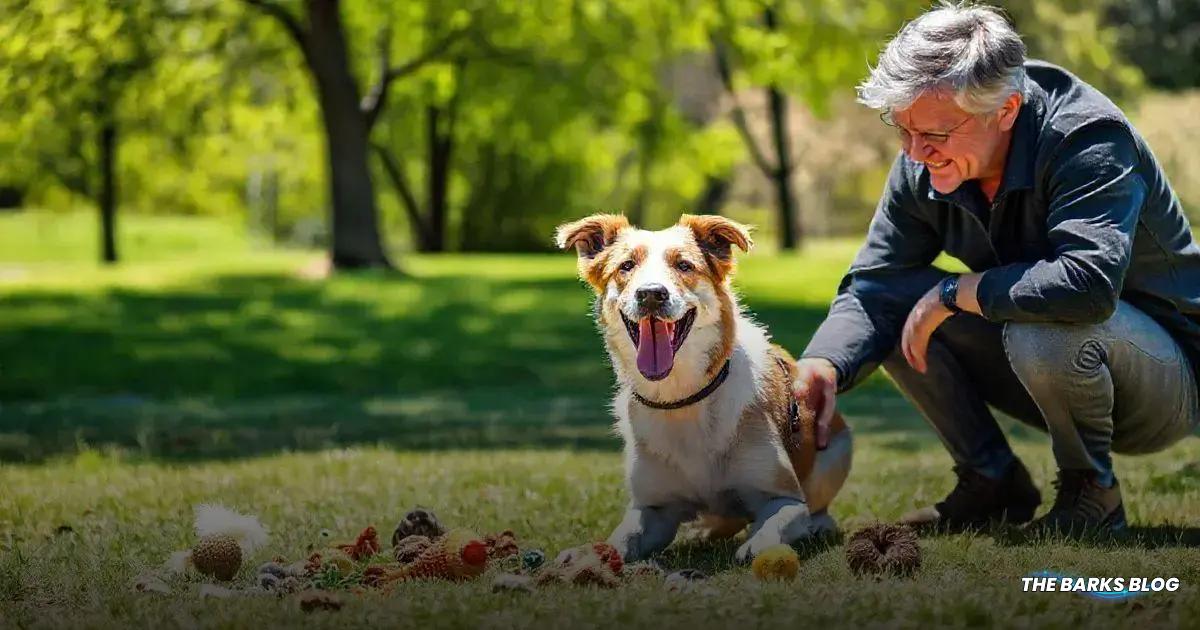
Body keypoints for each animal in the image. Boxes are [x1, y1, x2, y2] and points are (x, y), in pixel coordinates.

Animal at [554, 213, 854, 561]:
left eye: (684, 265)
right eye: (626, 266)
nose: (651, 294)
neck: (682, 399)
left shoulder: (787, 498)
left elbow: (776, 523)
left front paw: (758, 545)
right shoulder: (653, 508)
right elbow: (623, 536)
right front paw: (591, 552)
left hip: (836, 454)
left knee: (819, 509)